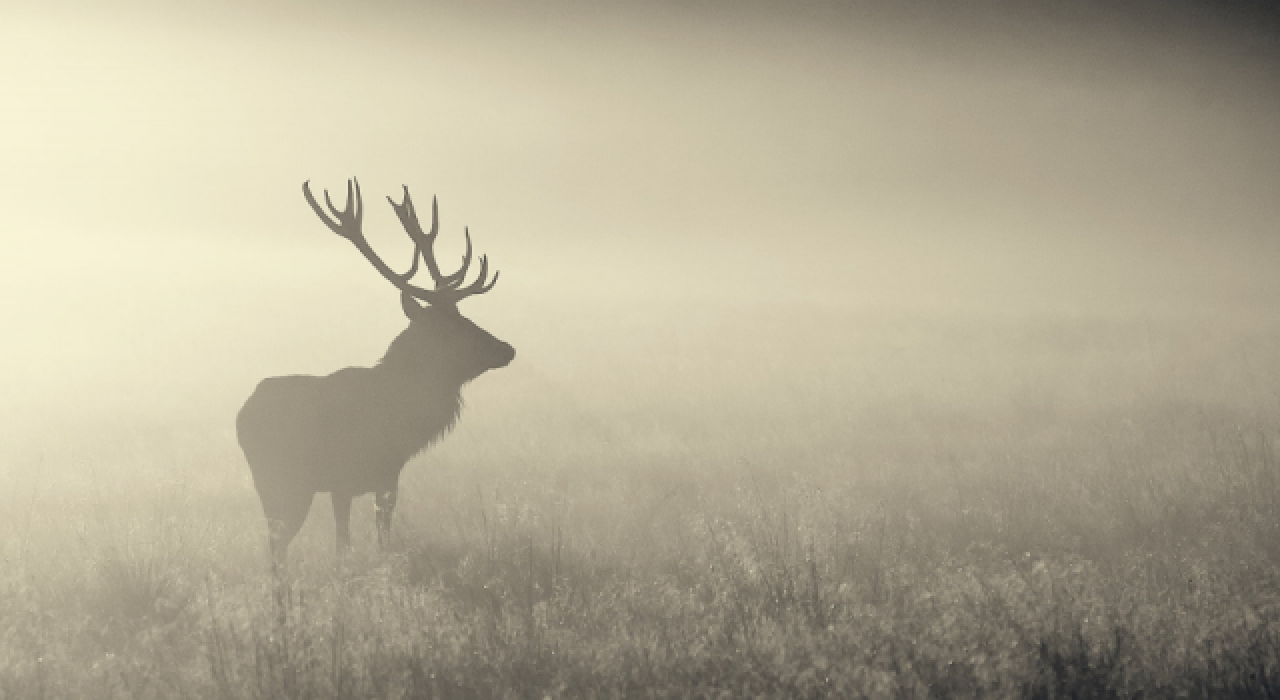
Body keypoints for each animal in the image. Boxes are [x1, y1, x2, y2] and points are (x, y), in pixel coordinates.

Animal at [235, 177, 514, 568]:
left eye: (465, 317)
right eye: (451, 327)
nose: (507, 348)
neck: (399, 421)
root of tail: (242, 413)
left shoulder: (388, 477)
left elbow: (382, 538)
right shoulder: (342, 478)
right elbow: (344, 545)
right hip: (282, 479)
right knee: (277, 549)